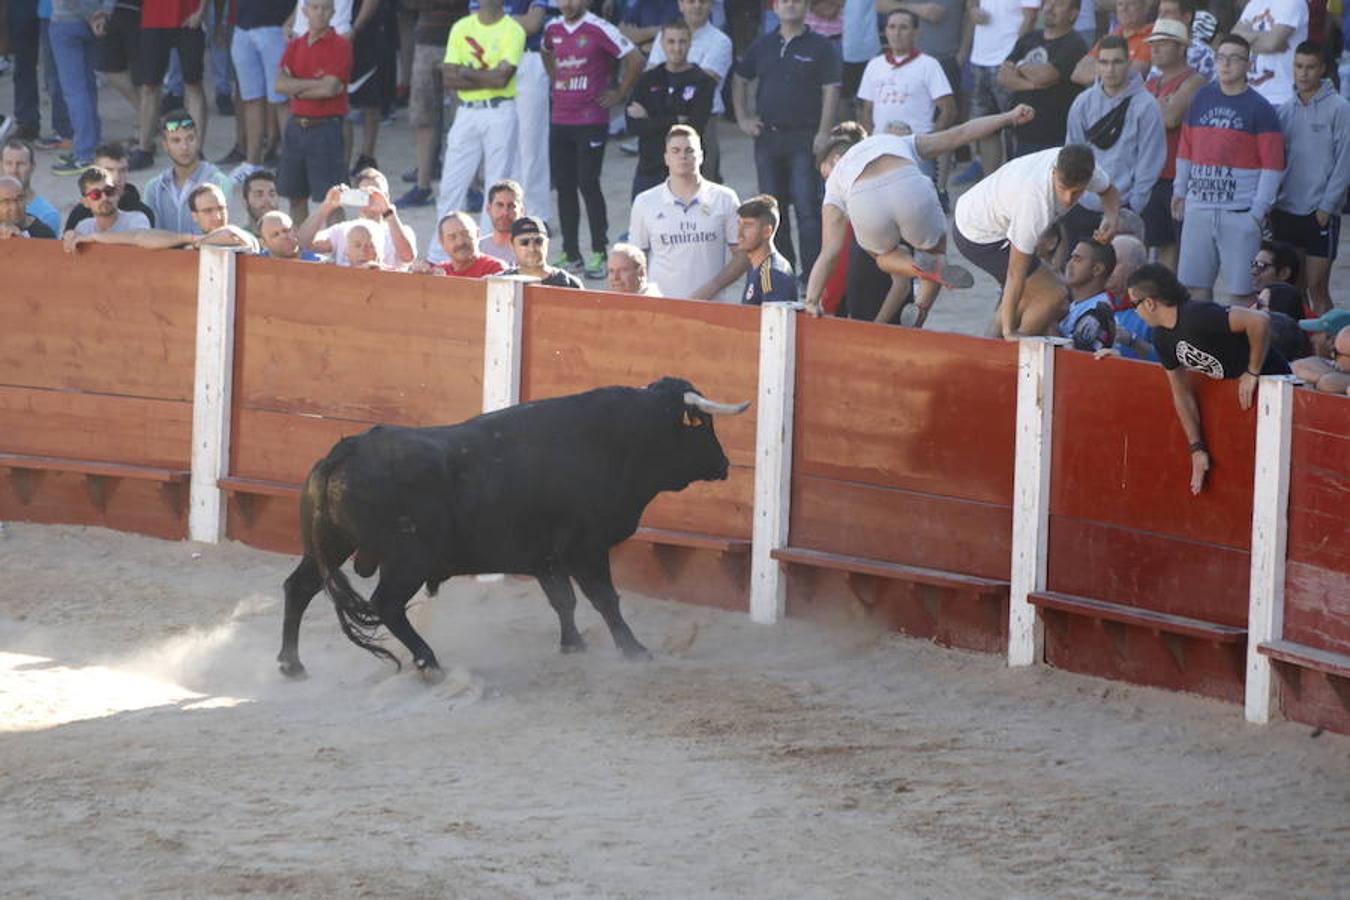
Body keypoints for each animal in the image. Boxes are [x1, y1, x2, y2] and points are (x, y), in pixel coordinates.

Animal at [276, 377, 750, 680]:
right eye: (703, 425)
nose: (724, 464)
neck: (620, 439)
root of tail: (346, 450)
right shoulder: (586, 548)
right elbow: (604, 599)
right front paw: (634, 650)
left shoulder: (544, 556)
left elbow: (563, 601)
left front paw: (573, 646)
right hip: (408, 559)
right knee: (386, 604)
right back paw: (429, 661)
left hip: (332, 545)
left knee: (299, 587)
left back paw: (292, 665)